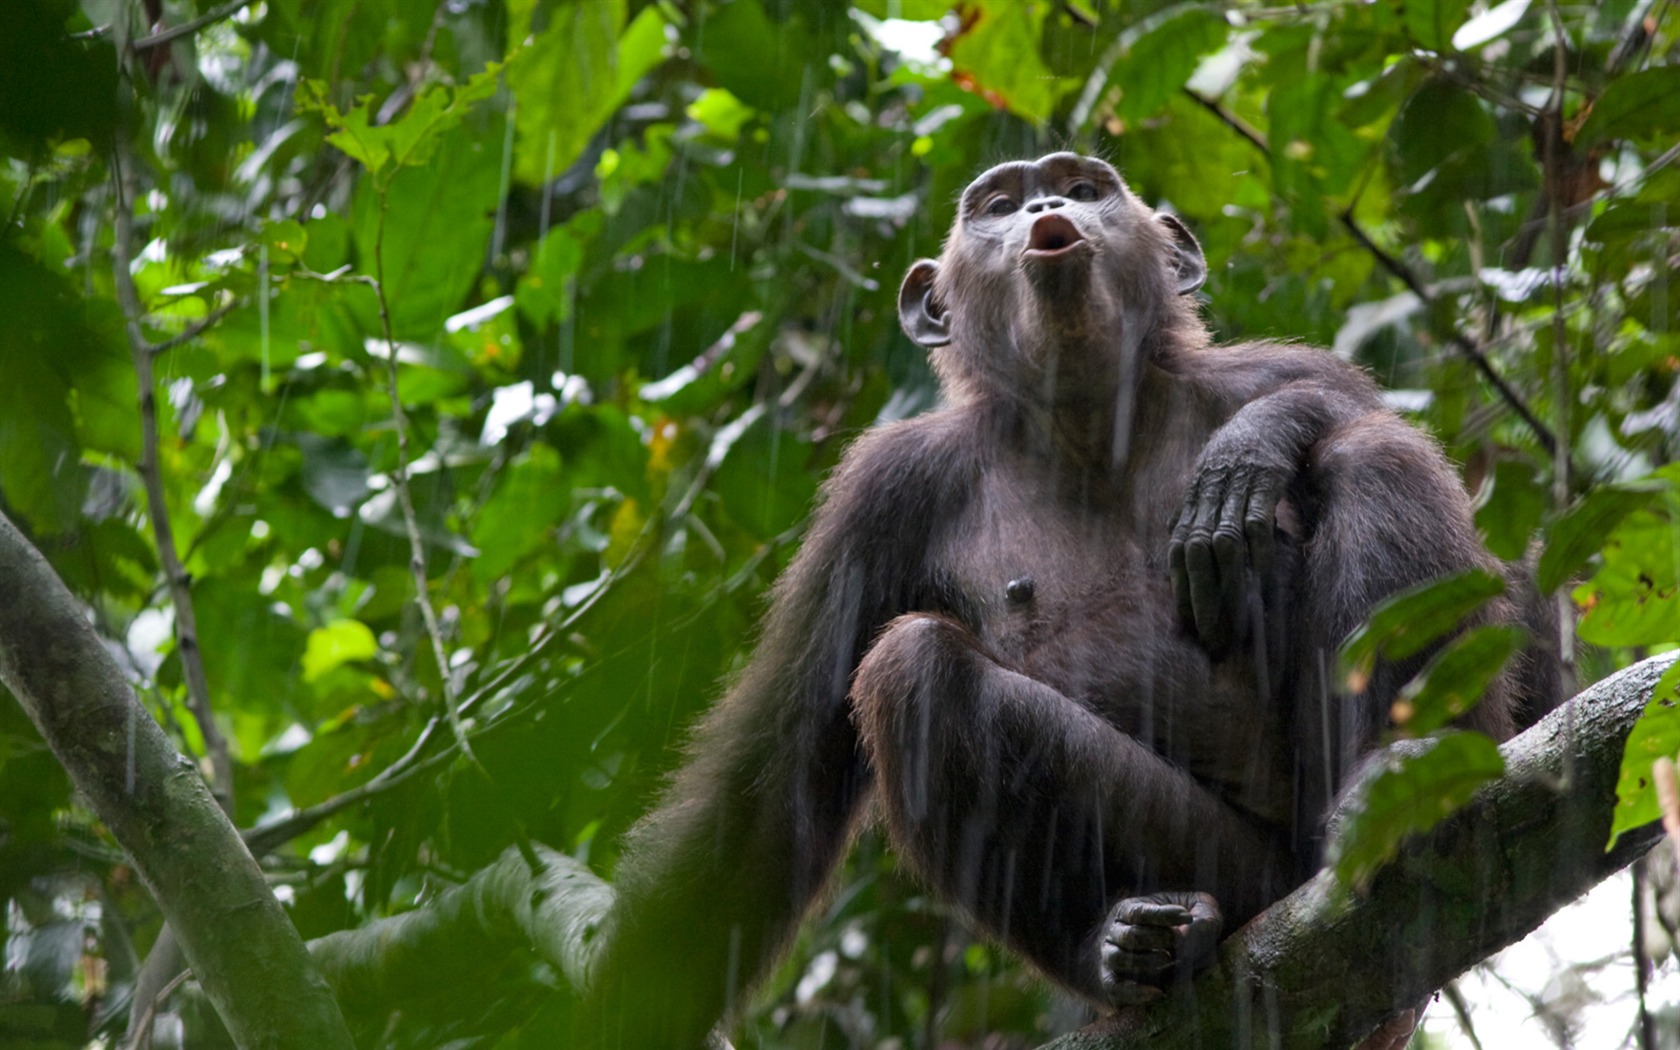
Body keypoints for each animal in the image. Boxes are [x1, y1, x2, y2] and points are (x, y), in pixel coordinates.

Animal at [581, 151, 1538, 1041]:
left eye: (1083, 187)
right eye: (998, 204)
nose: (1046, 204)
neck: (1084, 418)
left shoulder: (1276, 367)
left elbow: (1347, 412)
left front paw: (1255, 445)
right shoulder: (880, 498)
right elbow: (777, 774)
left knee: (1374, 455)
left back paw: (1394, 784)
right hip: (1231, 871)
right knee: (913, 671)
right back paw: (1128, 949)